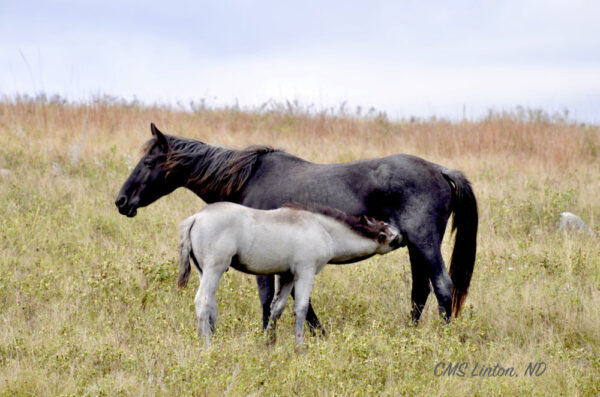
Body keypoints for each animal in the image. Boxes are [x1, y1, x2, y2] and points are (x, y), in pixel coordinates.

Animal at [116, 123, 478, 328]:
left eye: (149, 162)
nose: (121, 201)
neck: (247, 178)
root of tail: (440, 170)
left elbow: (269, 301)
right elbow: (290, 299)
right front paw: (317, 333)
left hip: (425, 244)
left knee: (442, 287)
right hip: (416, 247)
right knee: (420, 291)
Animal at [178, 201, 404, 344]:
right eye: (391, 237)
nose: (402, 237)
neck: (323, 229)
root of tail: (196, 217)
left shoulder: (287, 275)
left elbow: (276, 308)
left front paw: (268, 342)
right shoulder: (306, 272)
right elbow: (301, 308)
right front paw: (299, 346)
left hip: (204, 271)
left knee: (211, 304)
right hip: (214, 269)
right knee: (203, 301)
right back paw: (206, 344)